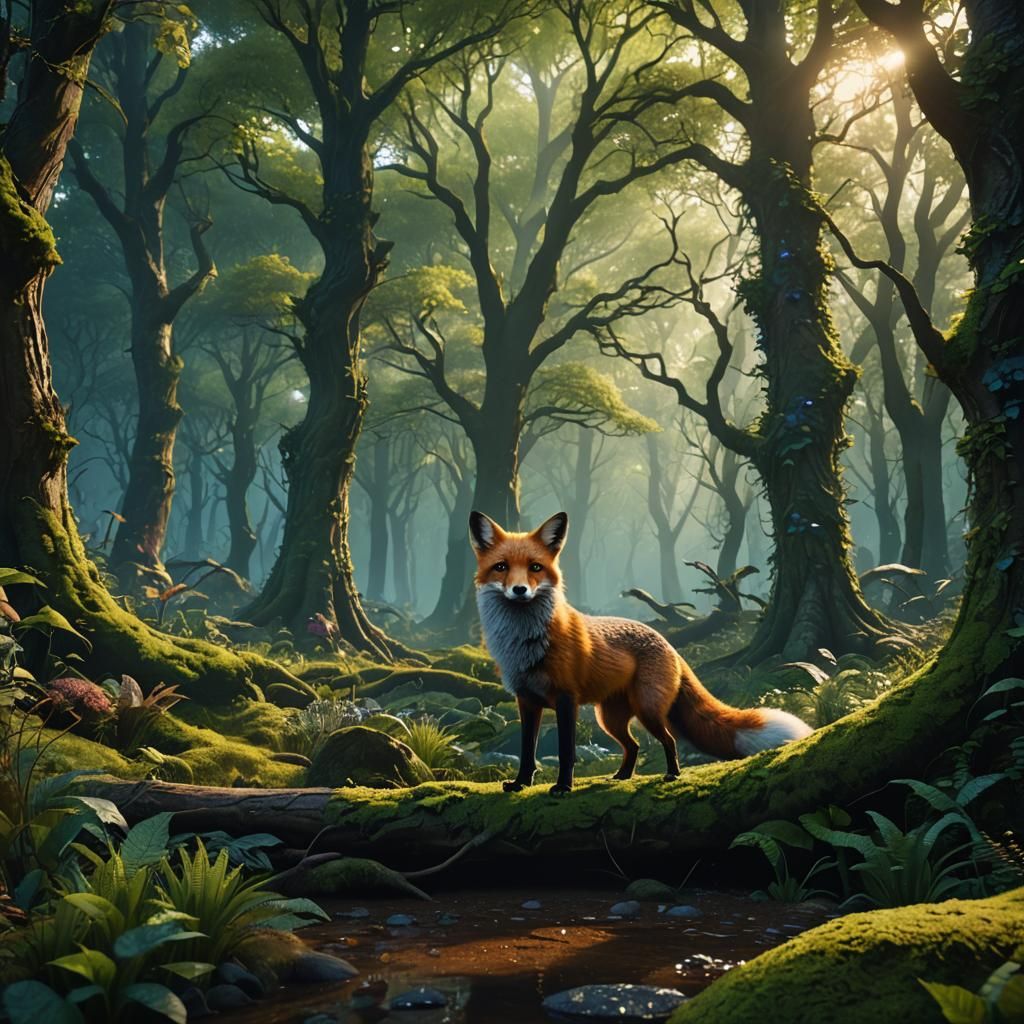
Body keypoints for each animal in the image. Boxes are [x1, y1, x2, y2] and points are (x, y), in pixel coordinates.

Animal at [469, 510, 813, 794]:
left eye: (535, 568)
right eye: (501, 568)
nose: (520, 591)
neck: (524, 644)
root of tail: (668, 642)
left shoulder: (566, 700)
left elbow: (566, 752)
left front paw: (563, 787)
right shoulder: (526, 700)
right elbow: (527, 752)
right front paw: (520, 784)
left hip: (646, 711)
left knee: (669, 740)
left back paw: (672, 774)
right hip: (609, 718)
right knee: (633, 746)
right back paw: (622, 776)